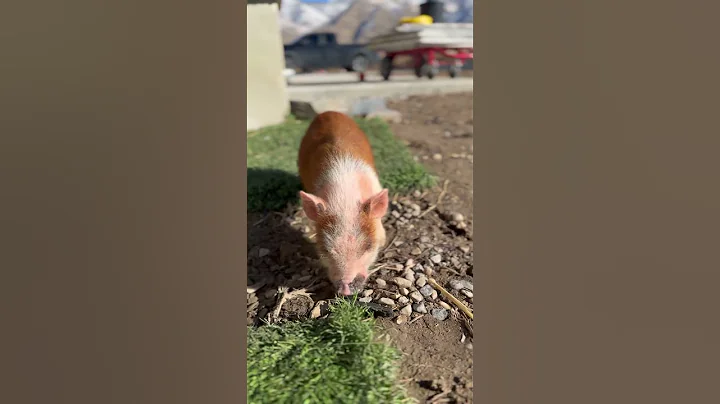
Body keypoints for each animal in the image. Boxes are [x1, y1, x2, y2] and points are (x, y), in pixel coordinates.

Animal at [297, 111, 389, 296]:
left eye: (368, 246)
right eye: (325, 249)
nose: (346, 288)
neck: (345, 198)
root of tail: (329, 112)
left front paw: (383, 241)